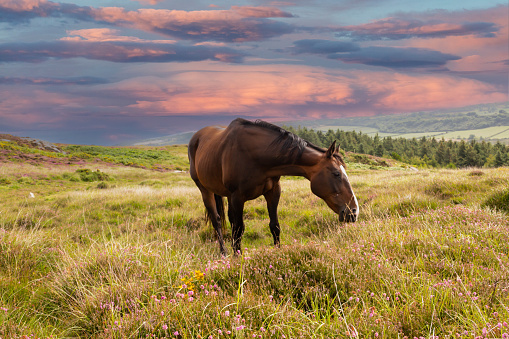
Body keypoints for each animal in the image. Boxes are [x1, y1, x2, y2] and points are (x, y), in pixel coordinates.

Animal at [187, 119, 358, 255]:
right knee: (216, 220)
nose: (353, 212)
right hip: (205, 190)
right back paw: (223, 252)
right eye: (336, 173)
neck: (257, 156)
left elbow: (274, 226)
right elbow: (239, 229)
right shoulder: (237, 196)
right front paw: (237, 258)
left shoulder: (273, 191)